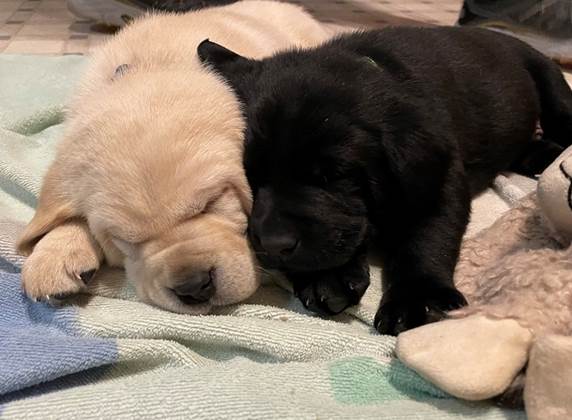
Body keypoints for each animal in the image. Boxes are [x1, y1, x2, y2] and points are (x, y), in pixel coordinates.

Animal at [198, 27, 572, 334]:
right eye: (250, 176)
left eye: (334, 175)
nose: (275, 245)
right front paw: (326, 276)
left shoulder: (437, 180)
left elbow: (426, 238)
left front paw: (418, 297)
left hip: (550, 82)